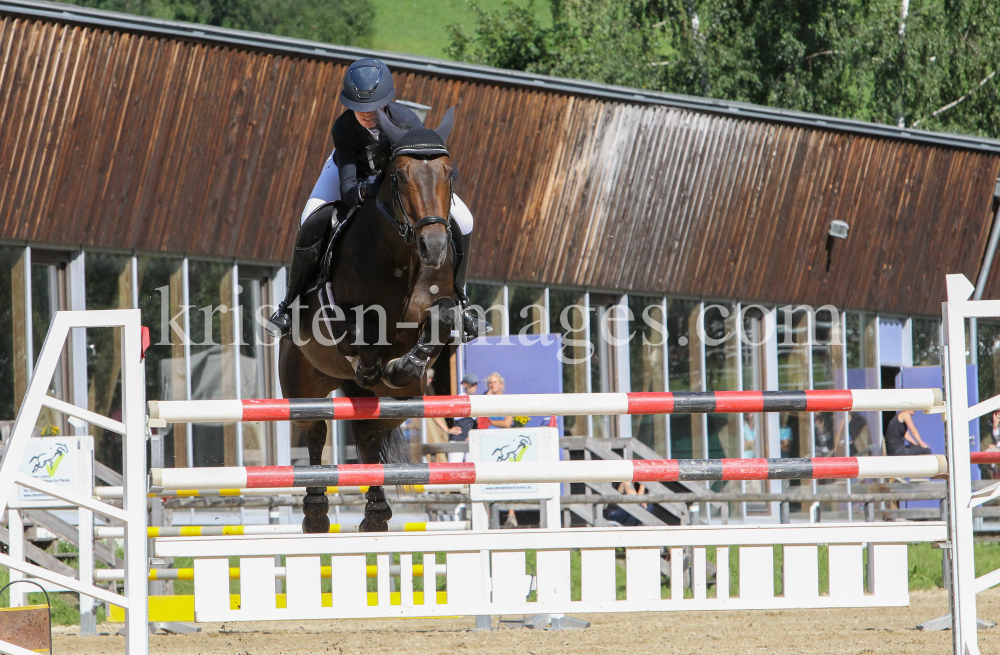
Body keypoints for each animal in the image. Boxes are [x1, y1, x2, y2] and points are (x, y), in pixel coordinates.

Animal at [280, 110, 462, 536]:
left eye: (450, 173)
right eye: (399, 176)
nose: (434, 248)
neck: (401, 256)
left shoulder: (439, 302)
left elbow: (444, 314)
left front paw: (406, 364)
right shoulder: (342, 315)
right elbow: (364, 330)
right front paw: (376, 361)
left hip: (403, 402)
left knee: (367, 435)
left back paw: (376, 513)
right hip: (303, 384)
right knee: (316, 431)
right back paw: (316, 513)